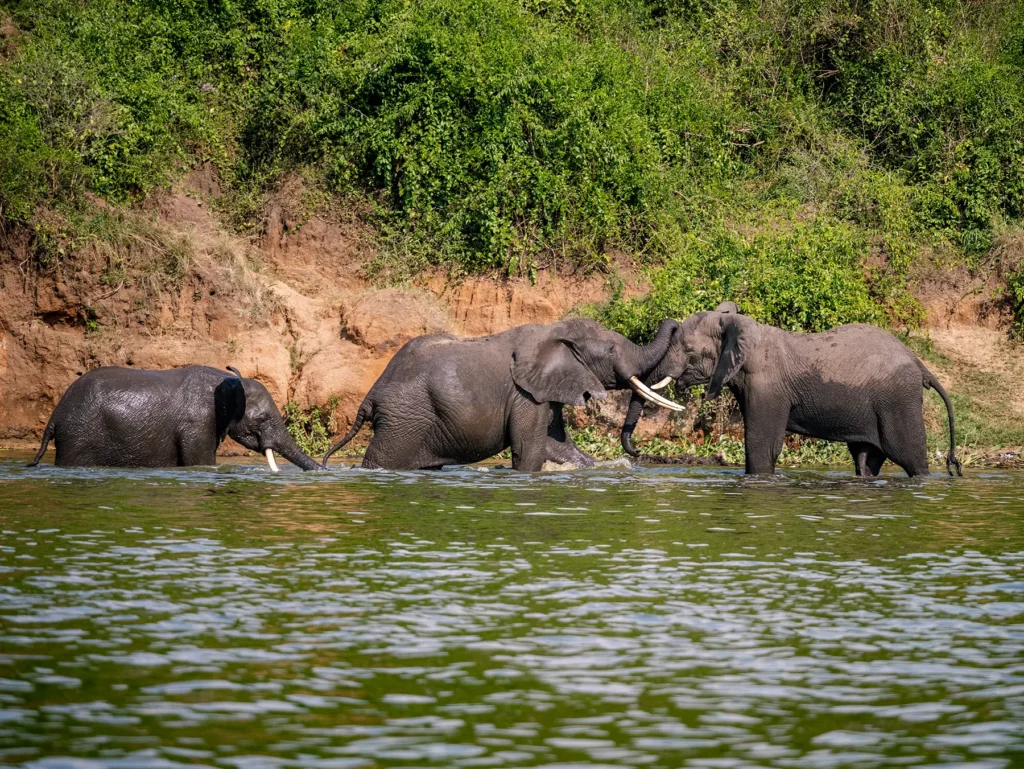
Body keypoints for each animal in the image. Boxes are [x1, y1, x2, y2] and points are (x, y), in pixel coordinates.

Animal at [321, 318, 684, 471]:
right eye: (610, 351)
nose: (678, 324)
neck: (552, 331)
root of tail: (371, 395)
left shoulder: (542, 393)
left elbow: (558, 446)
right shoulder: (525, 395)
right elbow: (530, 451)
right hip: (404, 419)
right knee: (380, 460)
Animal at [619, 303, 961, 477]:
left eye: (688, 349)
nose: (638, 453)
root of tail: (920, 364)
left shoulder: (767, 386)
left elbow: (763, 446)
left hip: (898, 401)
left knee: (909, 456)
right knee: (866, 460)